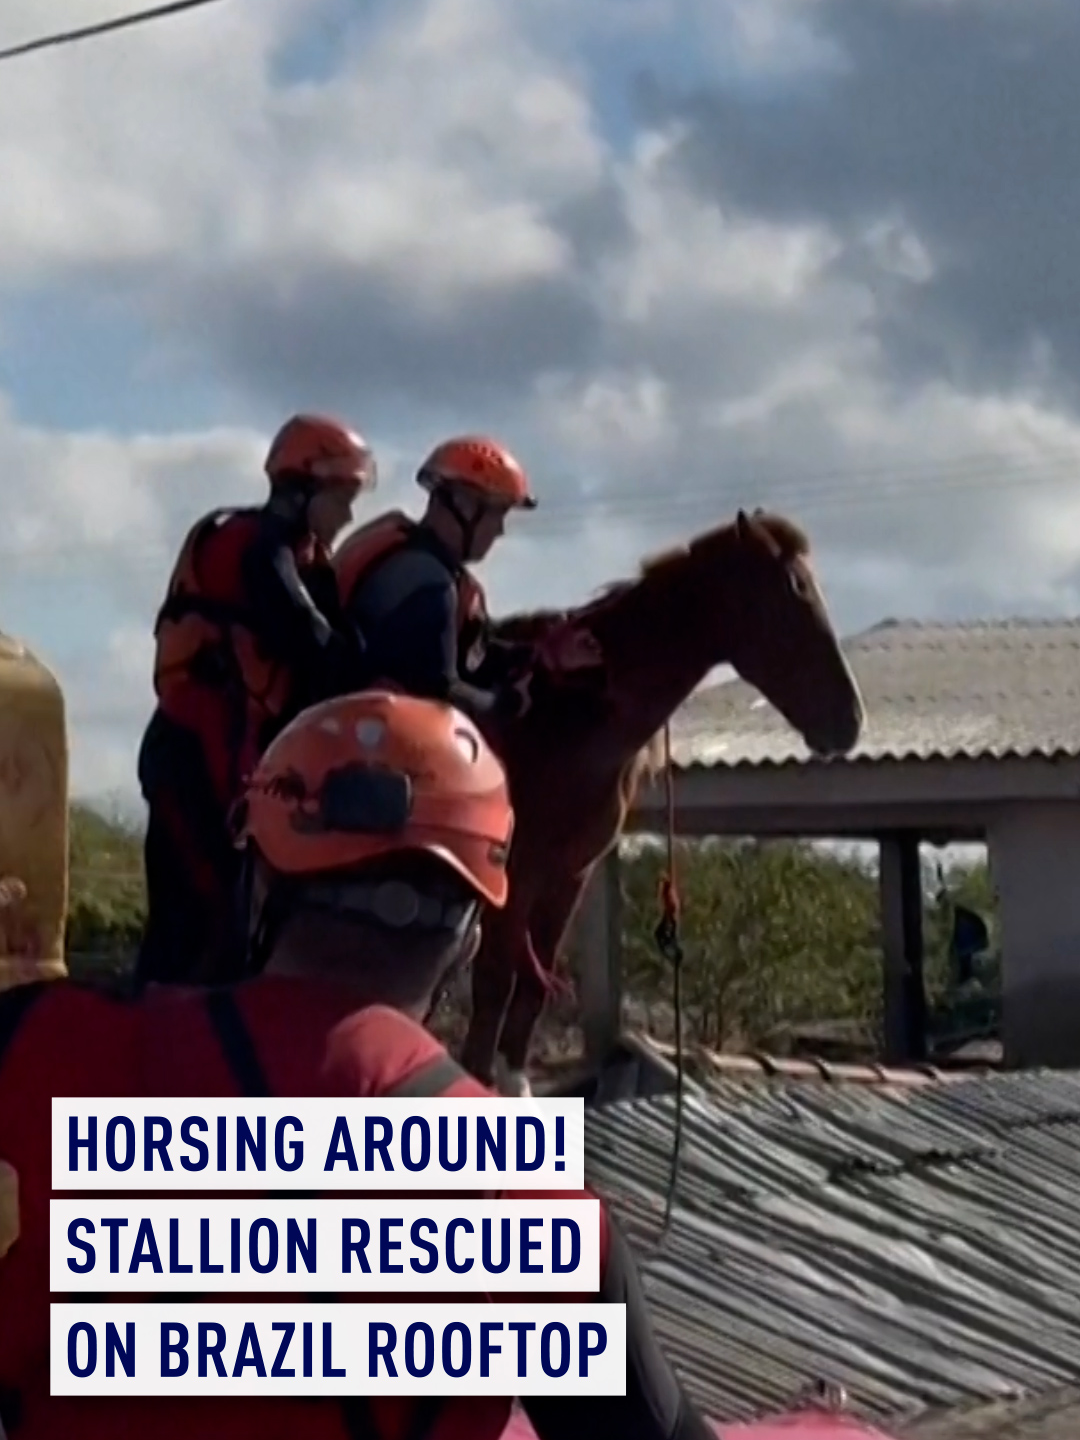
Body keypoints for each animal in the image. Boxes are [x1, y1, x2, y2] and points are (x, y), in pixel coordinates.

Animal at [460, 506, 869, 1088]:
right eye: (794, 591)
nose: (849, 721)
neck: (561, 715)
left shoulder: (567, 876)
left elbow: (530, 992)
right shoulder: (513, 876)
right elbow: (494, 986)